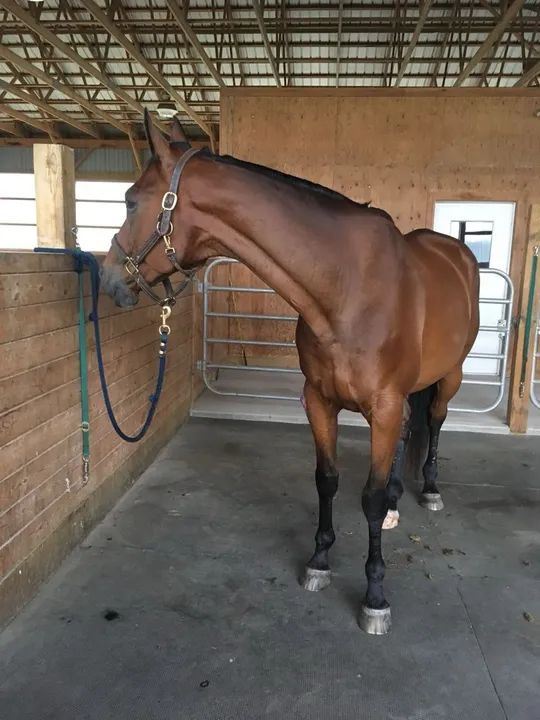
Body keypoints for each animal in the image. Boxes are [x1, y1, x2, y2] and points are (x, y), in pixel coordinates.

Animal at [101, 111, 480, 634]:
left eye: (130, 200)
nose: (108, 278)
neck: (347, 287)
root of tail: (457, 253)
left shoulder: (382, 406)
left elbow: (369, 496)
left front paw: (375, 595)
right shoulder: (318, 400)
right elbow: (327, 480)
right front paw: (319, 562)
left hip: (451, 377)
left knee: (435, 422)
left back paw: (429, 491)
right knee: (409, 430)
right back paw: (398, 502)